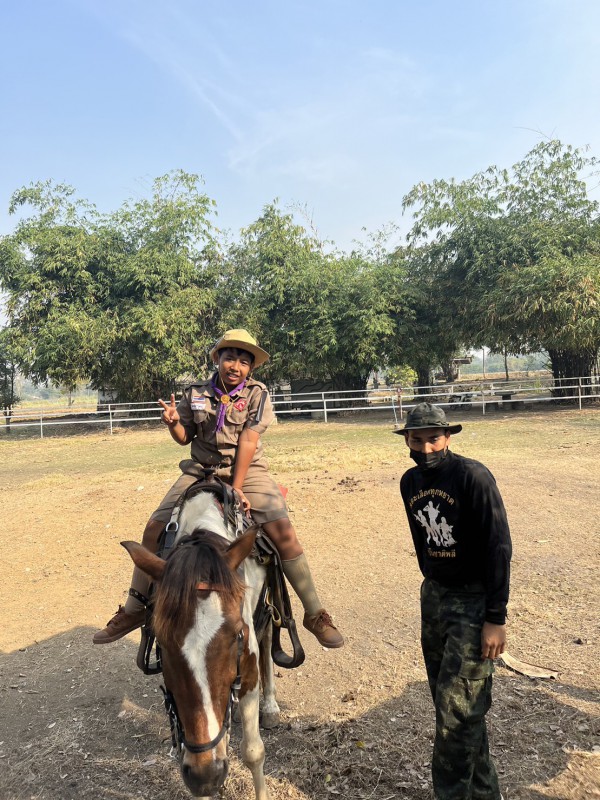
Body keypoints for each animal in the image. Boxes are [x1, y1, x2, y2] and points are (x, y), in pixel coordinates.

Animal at [122, 490, 280, 800]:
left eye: (236, 634)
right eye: (160, 641)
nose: (206, 775)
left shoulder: (248, 666)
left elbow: (253, 752)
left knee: (268, 643)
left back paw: (270, 706)